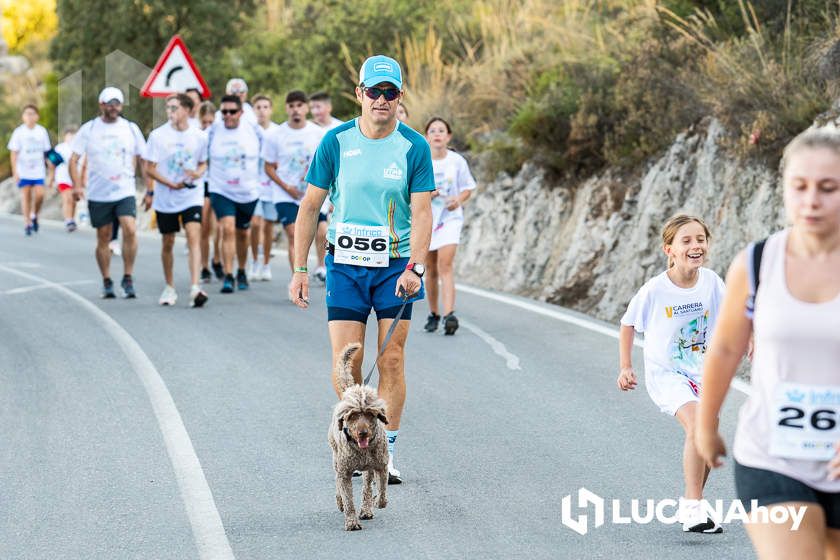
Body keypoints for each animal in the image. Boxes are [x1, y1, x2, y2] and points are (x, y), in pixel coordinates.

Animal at [330, 342, 392, 528]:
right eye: (352, 415)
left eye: (370, 414)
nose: (362, 432)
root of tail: (350, 390)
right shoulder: (344, 472)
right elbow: (348, 499)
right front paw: (351, 522)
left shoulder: (380, 466)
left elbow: (381, 491)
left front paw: (377, 501)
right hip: (336, 459)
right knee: (338, 483)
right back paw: (341, 503)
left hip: (368, 468)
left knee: (367, 487)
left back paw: (366, 509)